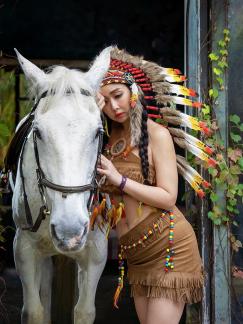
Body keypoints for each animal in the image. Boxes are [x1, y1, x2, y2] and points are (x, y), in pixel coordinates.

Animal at [10, 46, 111, 324]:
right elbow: (34, 311)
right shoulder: (23, 249)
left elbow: (84, 311)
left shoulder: (96, 251)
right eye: (38, 132)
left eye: (98, 132)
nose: (69, 230)